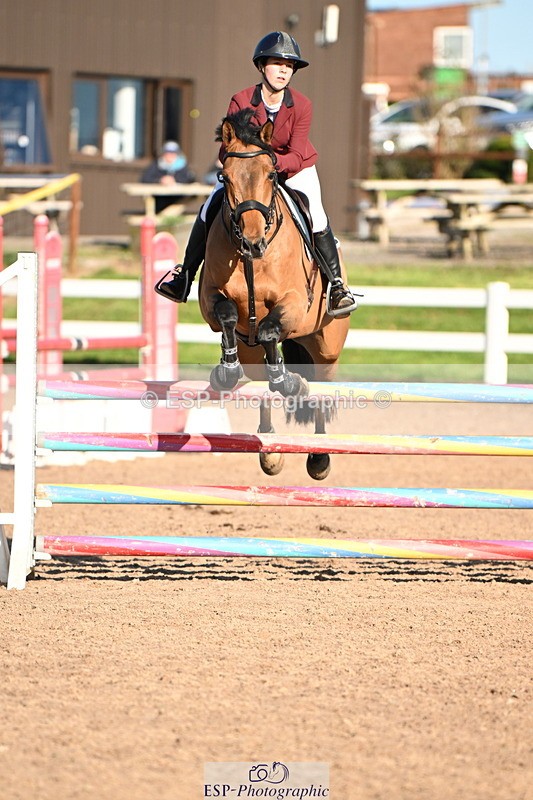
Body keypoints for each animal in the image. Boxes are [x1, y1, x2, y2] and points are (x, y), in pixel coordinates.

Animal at [198, 108, 350, 479]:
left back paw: (320, 456)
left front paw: (288, 380)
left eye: (270, 174)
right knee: (261, 385)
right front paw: (226, 372)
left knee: (321, 390)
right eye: (225, 177)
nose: (254, 243)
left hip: (327, 350)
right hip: (251, 353)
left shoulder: (293, 303)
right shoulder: (210, 299)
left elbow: (270, 330)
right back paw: (270, 449)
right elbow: (227, 315)